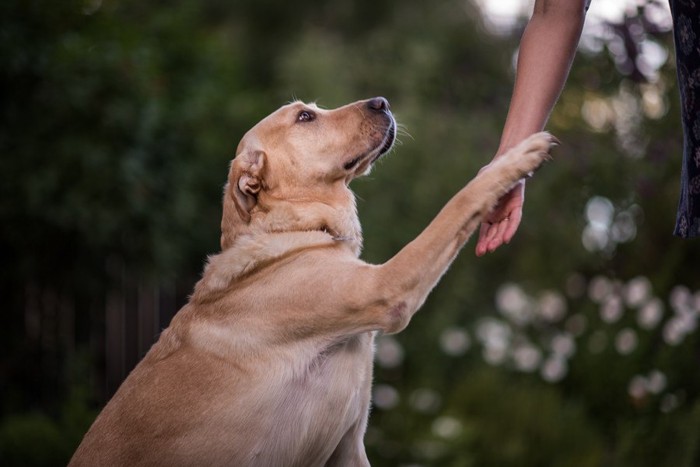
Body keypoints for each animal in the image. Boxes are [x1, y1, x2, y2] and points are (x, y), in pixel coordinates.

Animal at [68, 97, 556, 466]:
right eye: (304, 117)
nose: (383, 101)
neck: (298, 234)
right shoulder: (387, 287)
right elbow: (458, 203)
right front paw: (517, 158)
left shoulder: (347, 447)